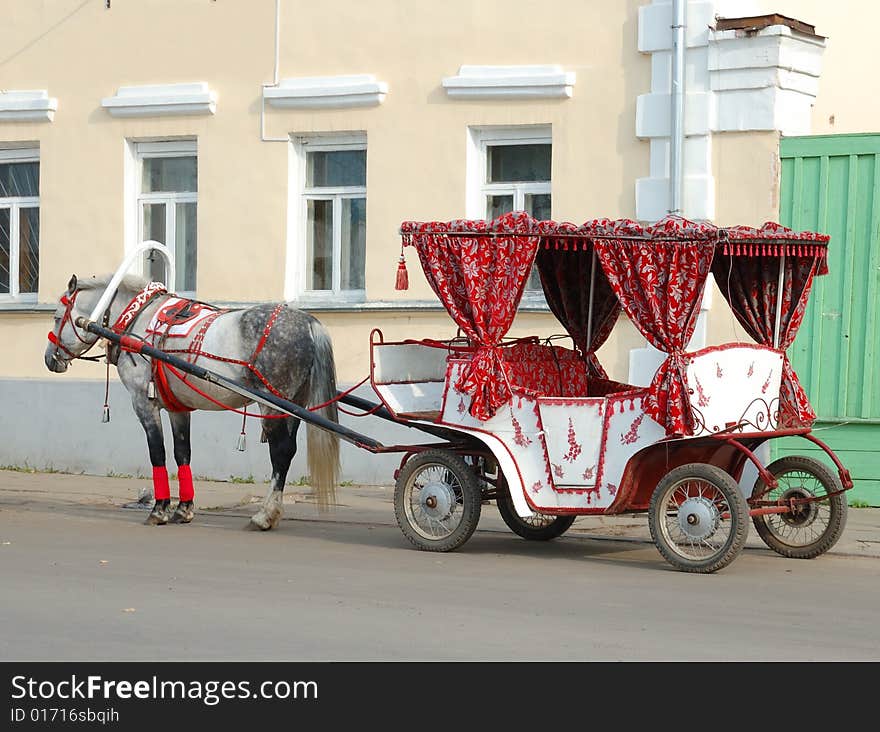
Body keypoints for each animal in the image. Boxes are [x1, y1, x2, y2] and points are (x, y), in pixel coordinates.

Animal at [43, 274, 340, 532]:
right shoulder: (178, 408)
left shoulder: (143, 403)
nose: (49, 358)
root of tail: (308, 321)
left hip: (273, 404)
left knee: (280, 453)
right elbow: (182, 452)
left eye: (57, 318)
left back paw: (265, 515)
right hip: (293, 406)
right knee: (288, 452)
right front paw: (183, 510)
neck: (138, 321)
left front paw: (159, 510)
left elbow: (158, 453)